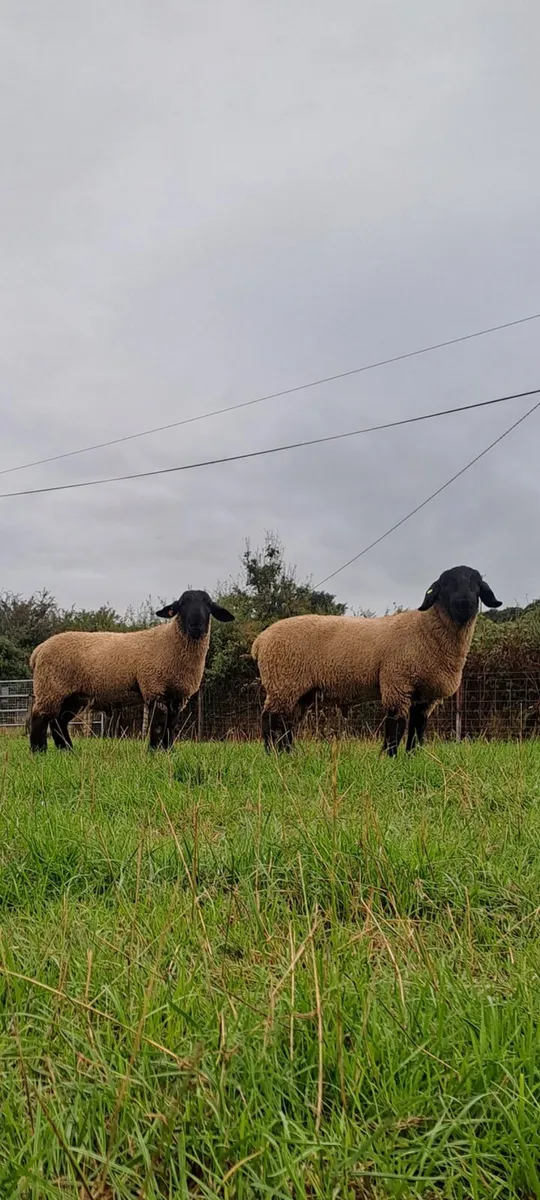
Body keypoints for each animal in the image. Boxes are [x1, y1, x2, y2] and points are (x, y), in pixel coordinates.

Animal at [28, 589, 234, 753]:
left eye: (208, 605)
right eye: (181, 605)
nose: (196, 626)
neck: (170, 641)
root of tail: (39, 651)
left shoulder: (178, 696)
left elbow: (171, 725)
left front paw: (169, 751)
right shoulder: (154, 687)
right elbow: (158, 724)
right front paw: (154, 752)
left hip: (72, 695)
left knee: (59, 720)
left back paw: (67, 750)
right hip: (51, 687)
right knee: (39, 717)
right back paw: (39, 751)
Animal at [251, 565, 502, 755]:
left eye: (477, 584)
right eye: (445, 584)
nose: (465, 603)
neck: (425, 630)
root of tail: (261, 640)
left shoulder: (424, 696)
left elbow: (417, 728)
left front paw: (413, 757)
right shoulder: (397, 682)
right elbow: (395, 726)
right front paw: (390, 757)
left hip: (297, 689)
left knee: (286, 723)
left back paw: (288, 753)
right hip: (283, 681)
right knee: (270, 720)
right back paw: (272, 754)